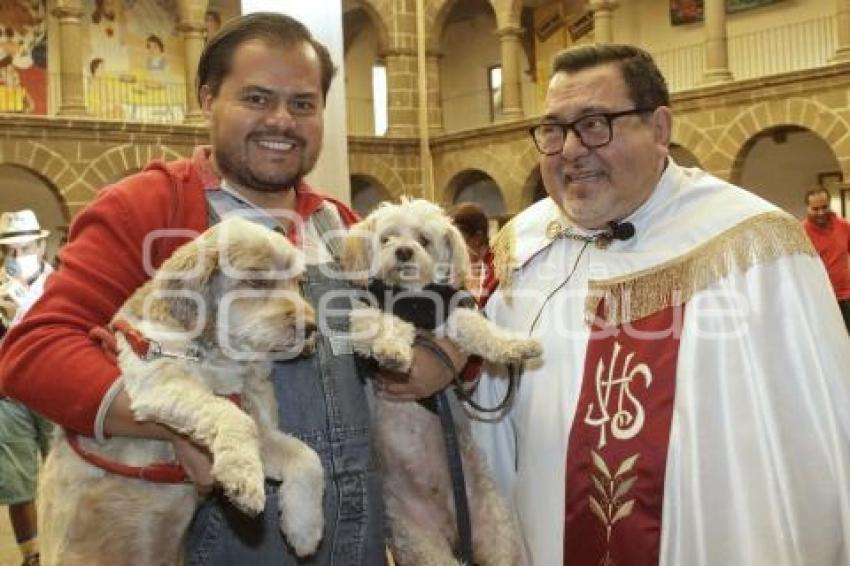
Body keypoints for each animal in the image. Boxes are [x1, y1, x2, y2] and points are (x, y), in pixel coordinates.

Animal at [36, 219, 322, 566]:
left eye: (298, 282)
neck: (222, 359)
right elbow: (232, 417)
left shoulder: (264, 433)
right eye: (255, 280)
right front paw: (243, 475)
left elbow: (308, 457)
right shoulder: (159, 382)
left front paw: (304, 530)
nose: (311, 329)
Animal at [338, 197, 536, 564]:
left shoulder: (453, 317)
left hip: (496, 529)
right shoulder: (364, 317)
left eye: (423, 240)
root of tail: (451, 527)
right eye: (387, 238)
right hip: (419, 540)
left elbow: (479, 329)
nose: (403, 251)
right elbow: (387, 325)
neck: (414, 300)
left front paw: (514, 345)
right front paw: (393, 350)